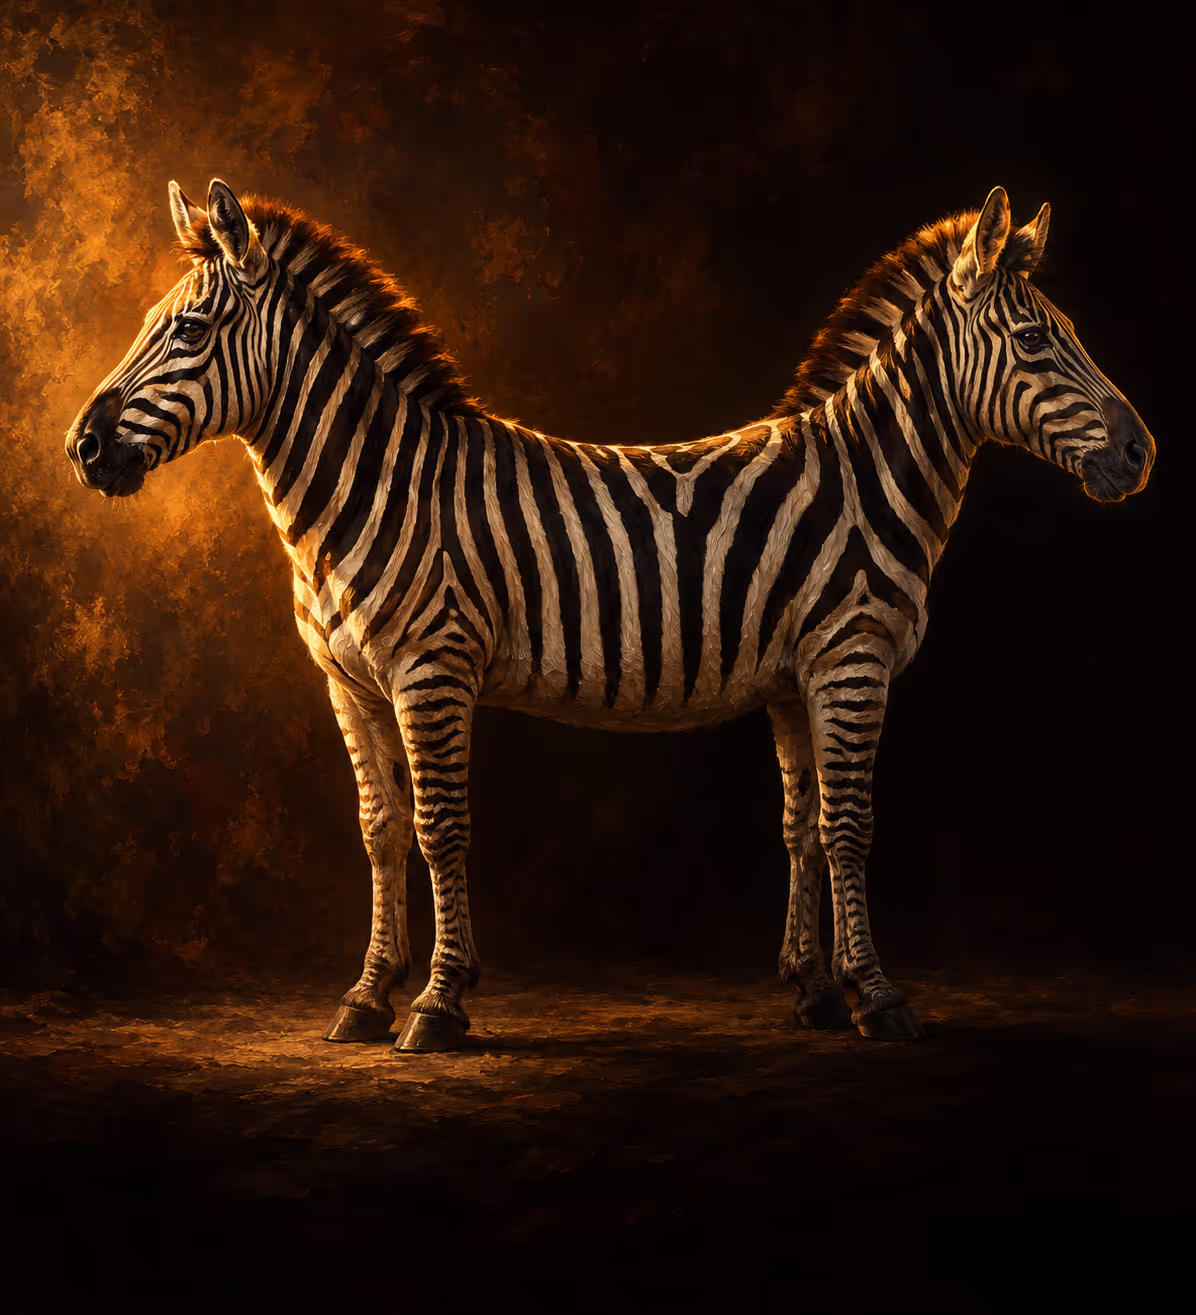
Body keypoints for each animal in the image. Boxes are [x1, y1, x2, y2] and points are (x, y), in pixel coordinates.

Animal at [65, 179, 1155, 1050]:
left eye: (188, 332)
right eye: (1036, 340)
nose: (83, 445)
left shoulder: (833, 661)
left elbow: (829, 826)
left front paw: (866, 996)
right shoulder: (357, 680)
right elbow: (387, 830)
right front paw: (371, 998)